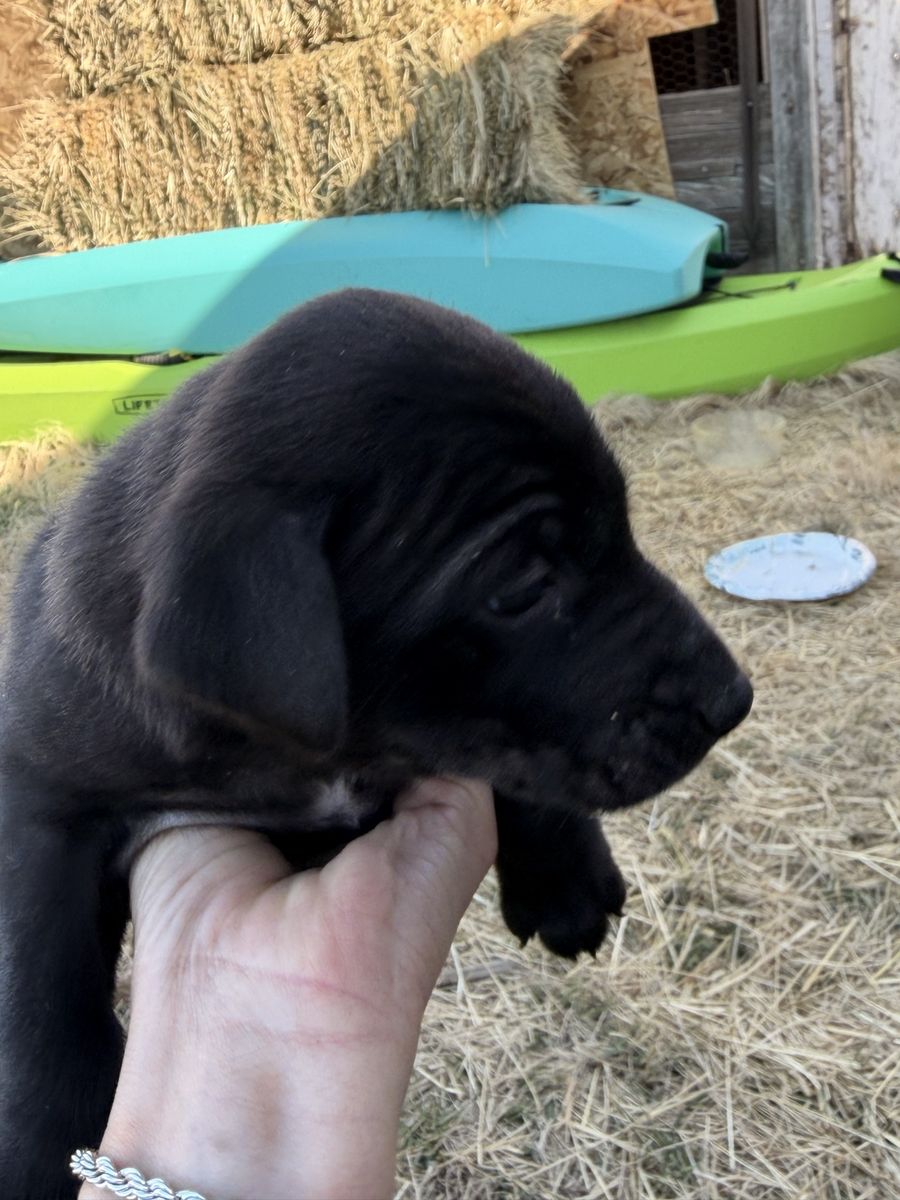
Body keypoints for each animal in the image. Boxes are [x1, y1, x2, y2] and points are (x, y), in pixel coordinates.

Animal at [0, 289, 751, 1198]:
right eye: (523, 588)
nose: (733, 698)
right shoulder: (41, 801)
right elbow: (41, 979)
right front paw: (41, 1143)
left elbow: (521, 770)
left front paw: (563, 876)